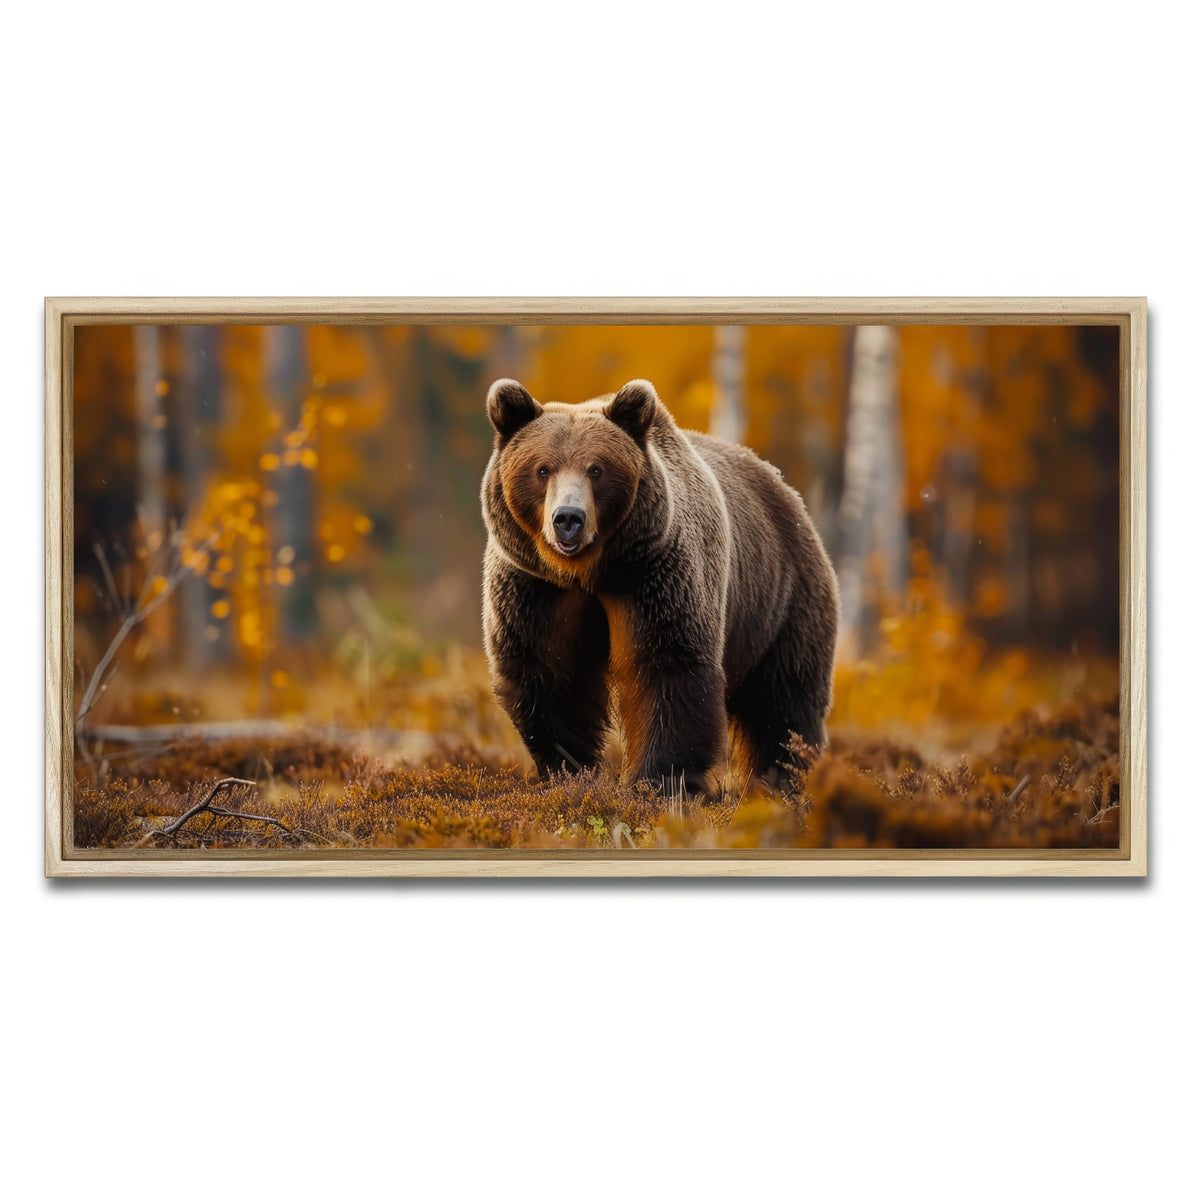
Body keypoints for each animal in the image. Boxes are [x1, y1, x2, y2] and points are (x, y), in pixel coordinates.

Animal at [480, 376, 839, 794]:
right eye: (542, 469)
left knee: (784, 699)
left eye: (597, 469)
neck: (590, 571)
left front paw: (657, 780)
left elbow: (667, 667)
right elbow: (550, 674)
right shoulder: (537, 589)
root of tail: (785, 490)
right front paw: (570, 770)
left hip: (783, 600)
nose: (568, 518)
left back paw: (782, 777)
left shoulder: (656, 575)